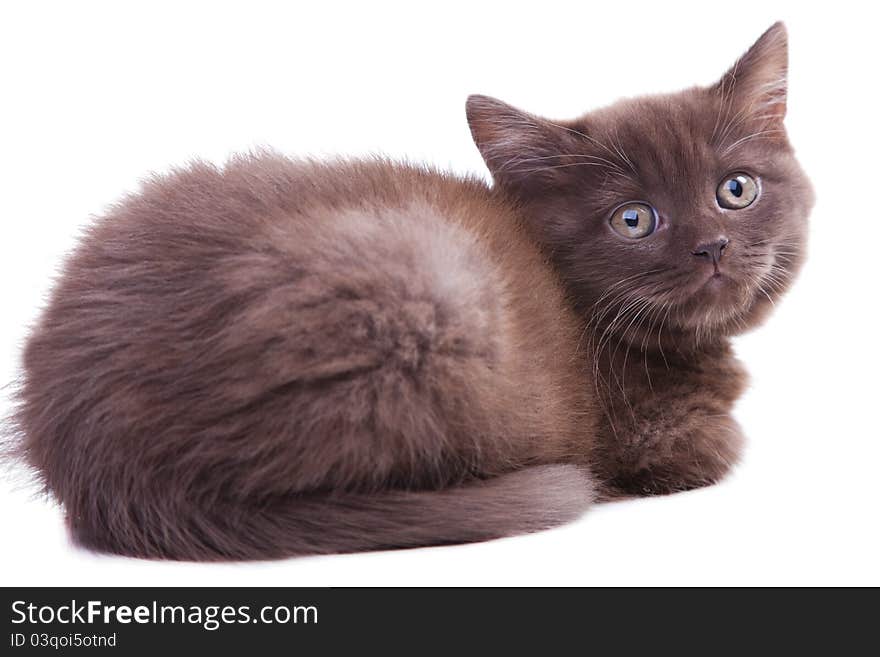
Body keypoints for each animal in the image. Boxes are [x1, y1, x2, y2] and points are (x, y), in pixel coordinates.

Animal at [6, 23, 812, 560]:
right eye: (634, 219)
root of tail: (100, 467)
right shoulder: (659, 434)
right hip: (425, 304)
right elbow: (716, 447)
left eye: (736, 189)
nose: (713, 246)